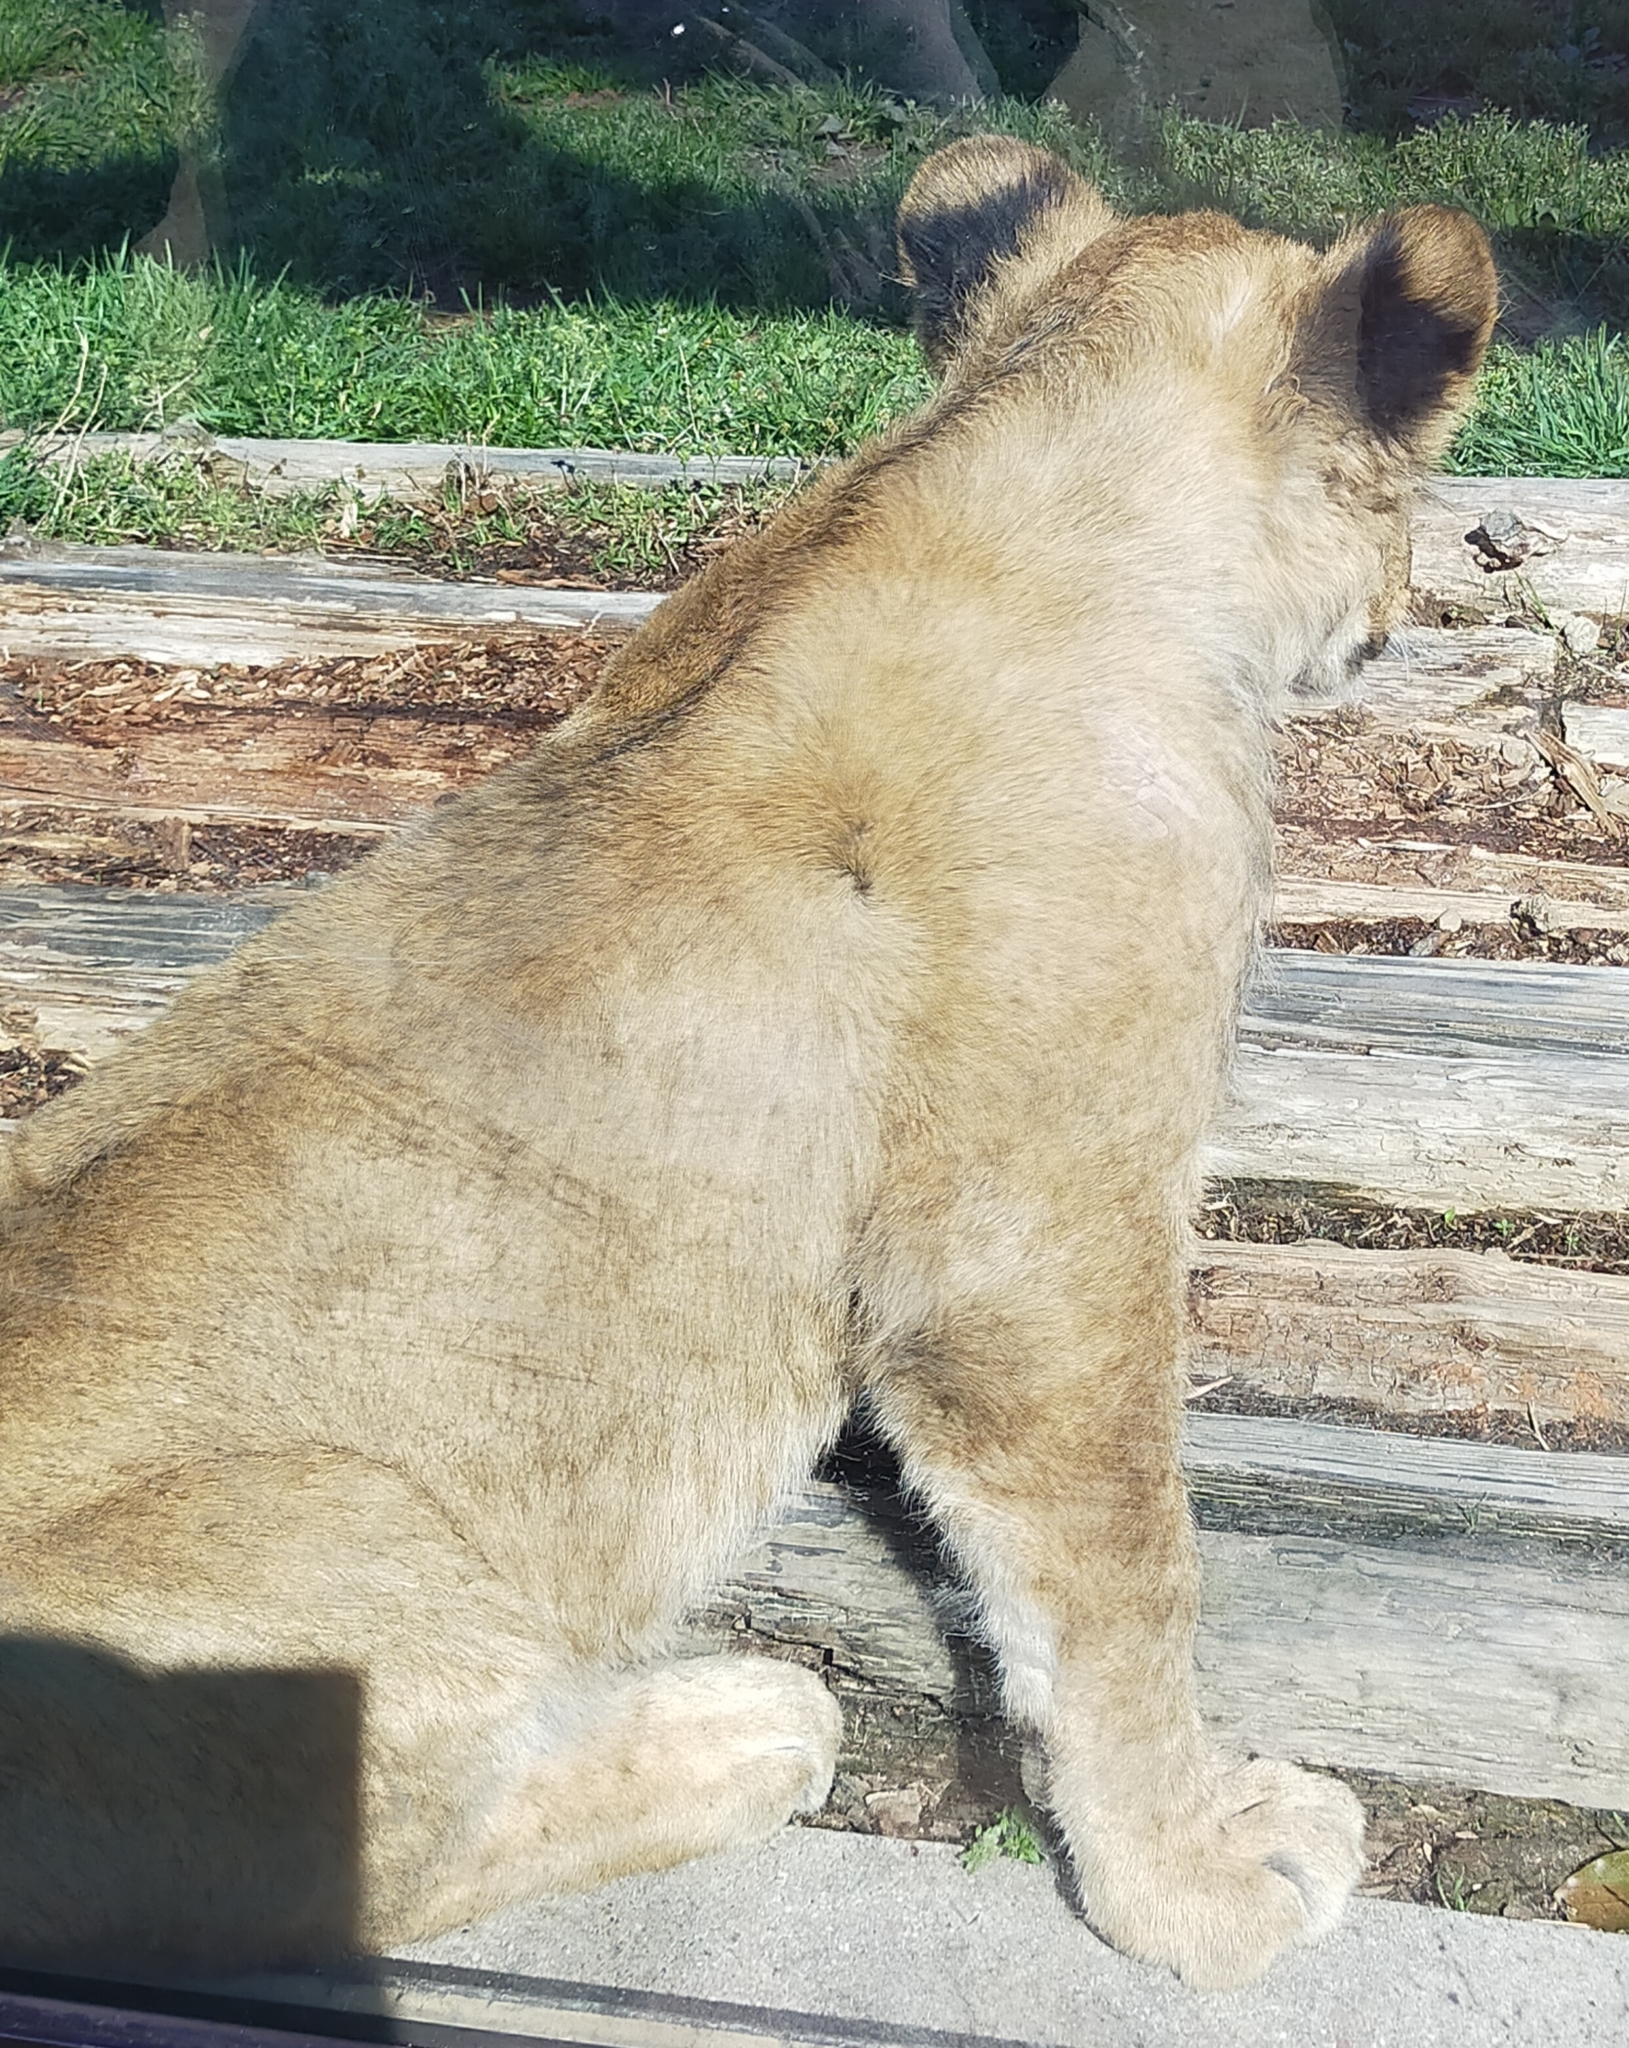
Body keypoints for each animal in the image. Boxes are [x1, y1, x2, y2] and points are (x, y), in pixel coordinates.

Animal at [0, 136, 1494, 1990]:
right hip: (355, 1521)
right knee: (346, 1867)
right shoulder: (1033, 1257)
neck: (1003, 458)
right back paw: (743, 1721)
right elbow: (1123, 1586)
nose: (1403, 610)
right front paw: (1196, 1881)